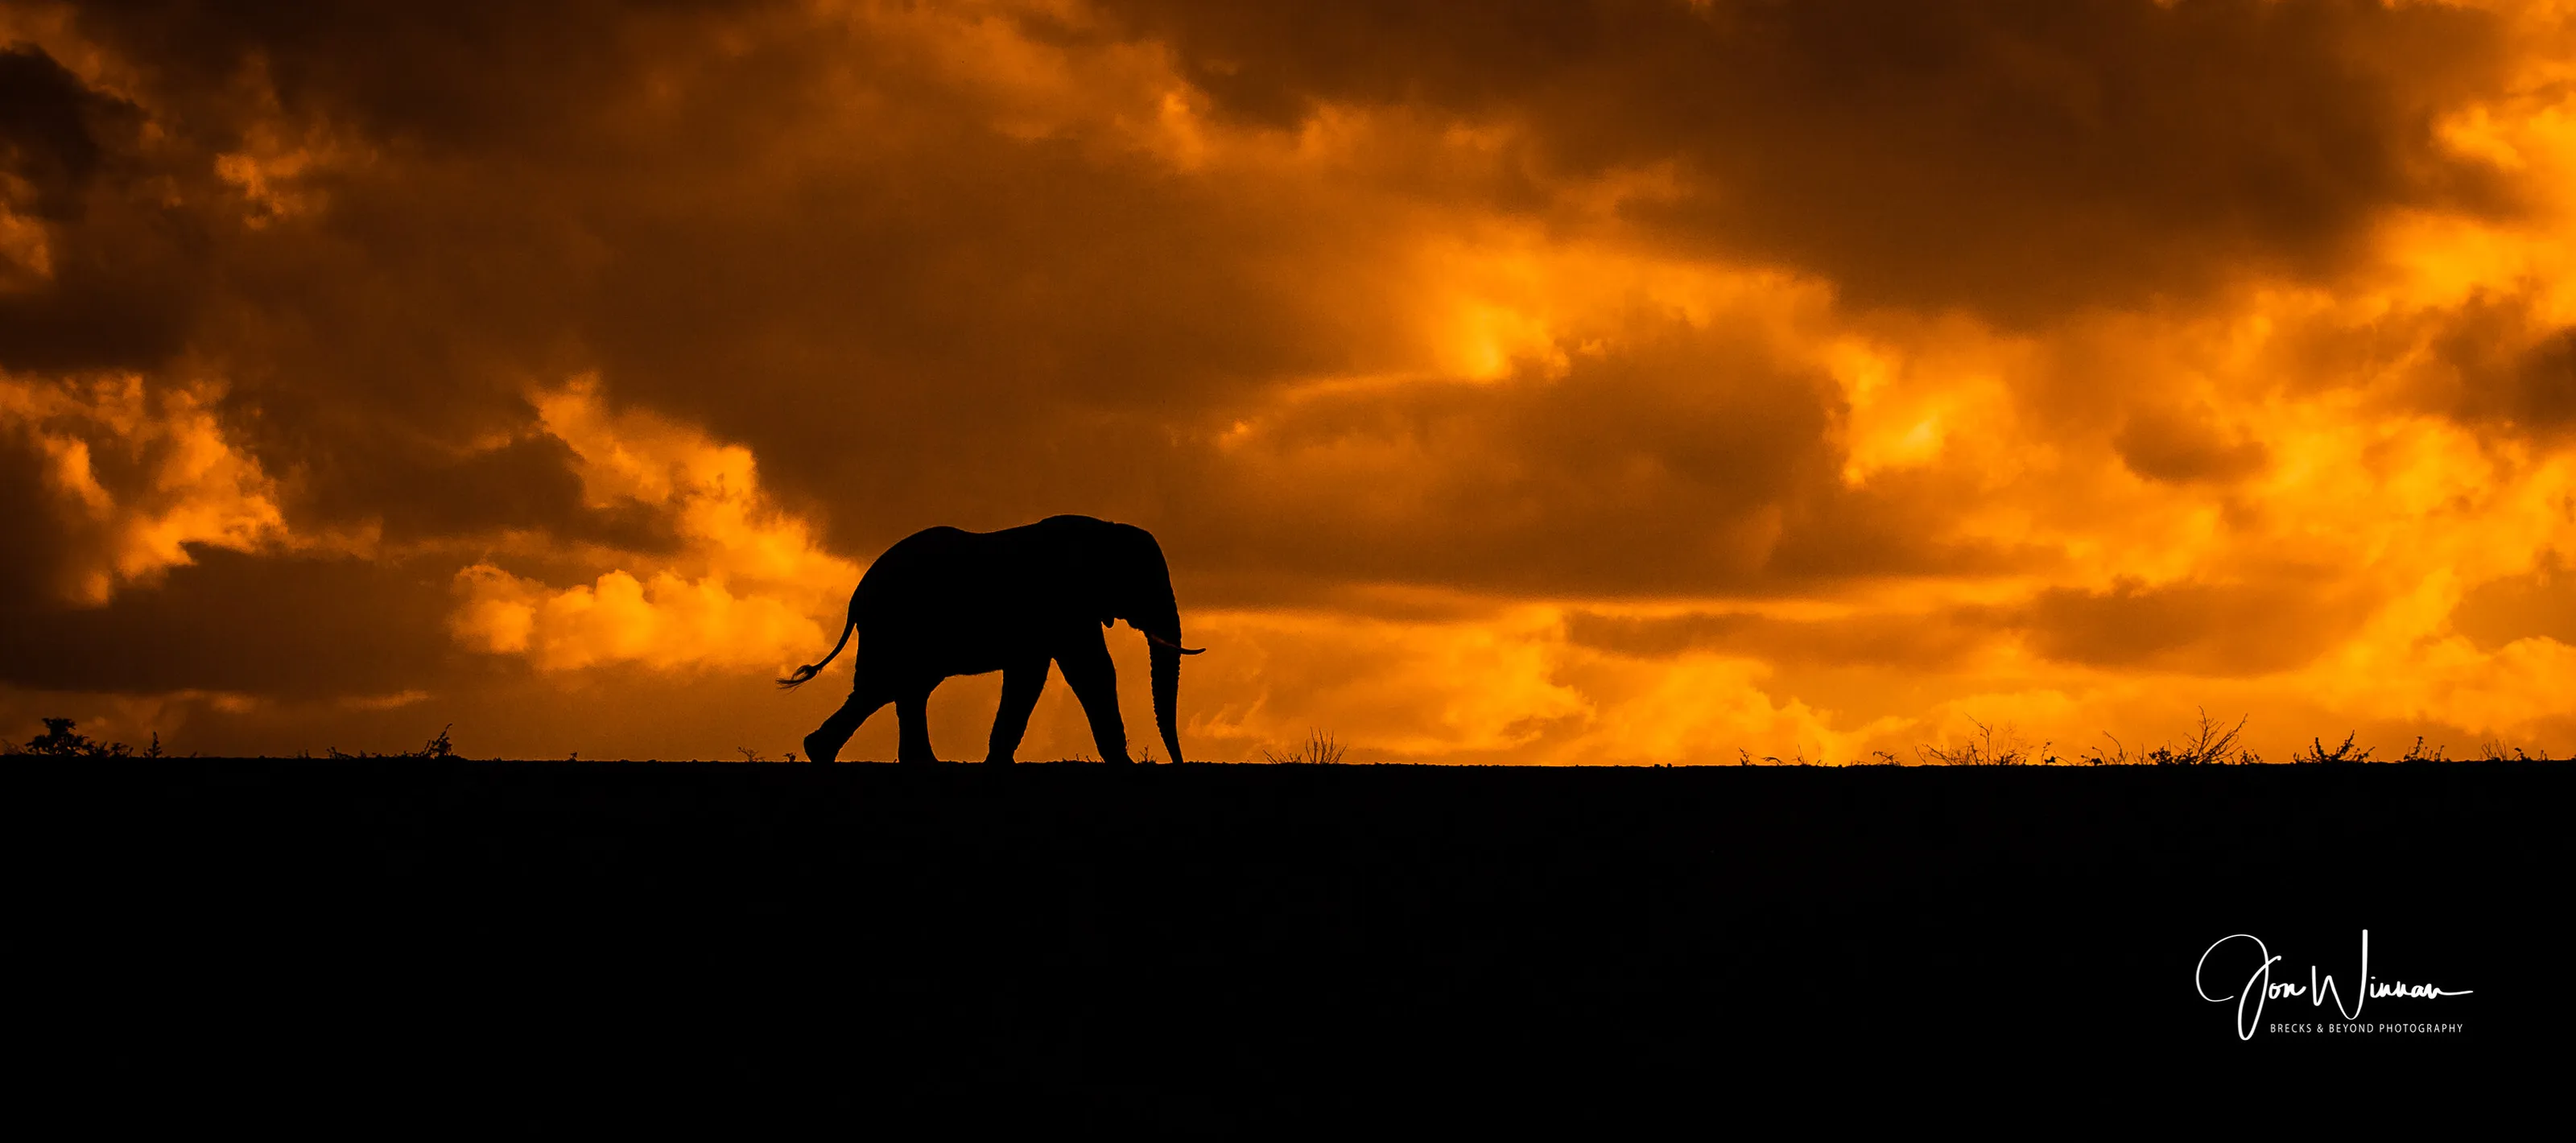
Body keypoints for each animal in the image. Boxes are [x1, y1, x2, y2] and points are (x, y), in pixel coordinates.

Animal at [780, 515, 1202, 765]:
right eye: (1142, 583)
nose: (1178, 764)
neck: (1103, 530)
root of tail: (857, 596)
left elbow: (1036, 673)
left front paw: (998, 762)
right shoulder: (1063, 602)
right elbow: (1089, 670)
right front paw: (1124, 765)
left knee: (902, 687)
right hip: (896, 623)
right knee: (886, 685)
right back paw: (823, 753)